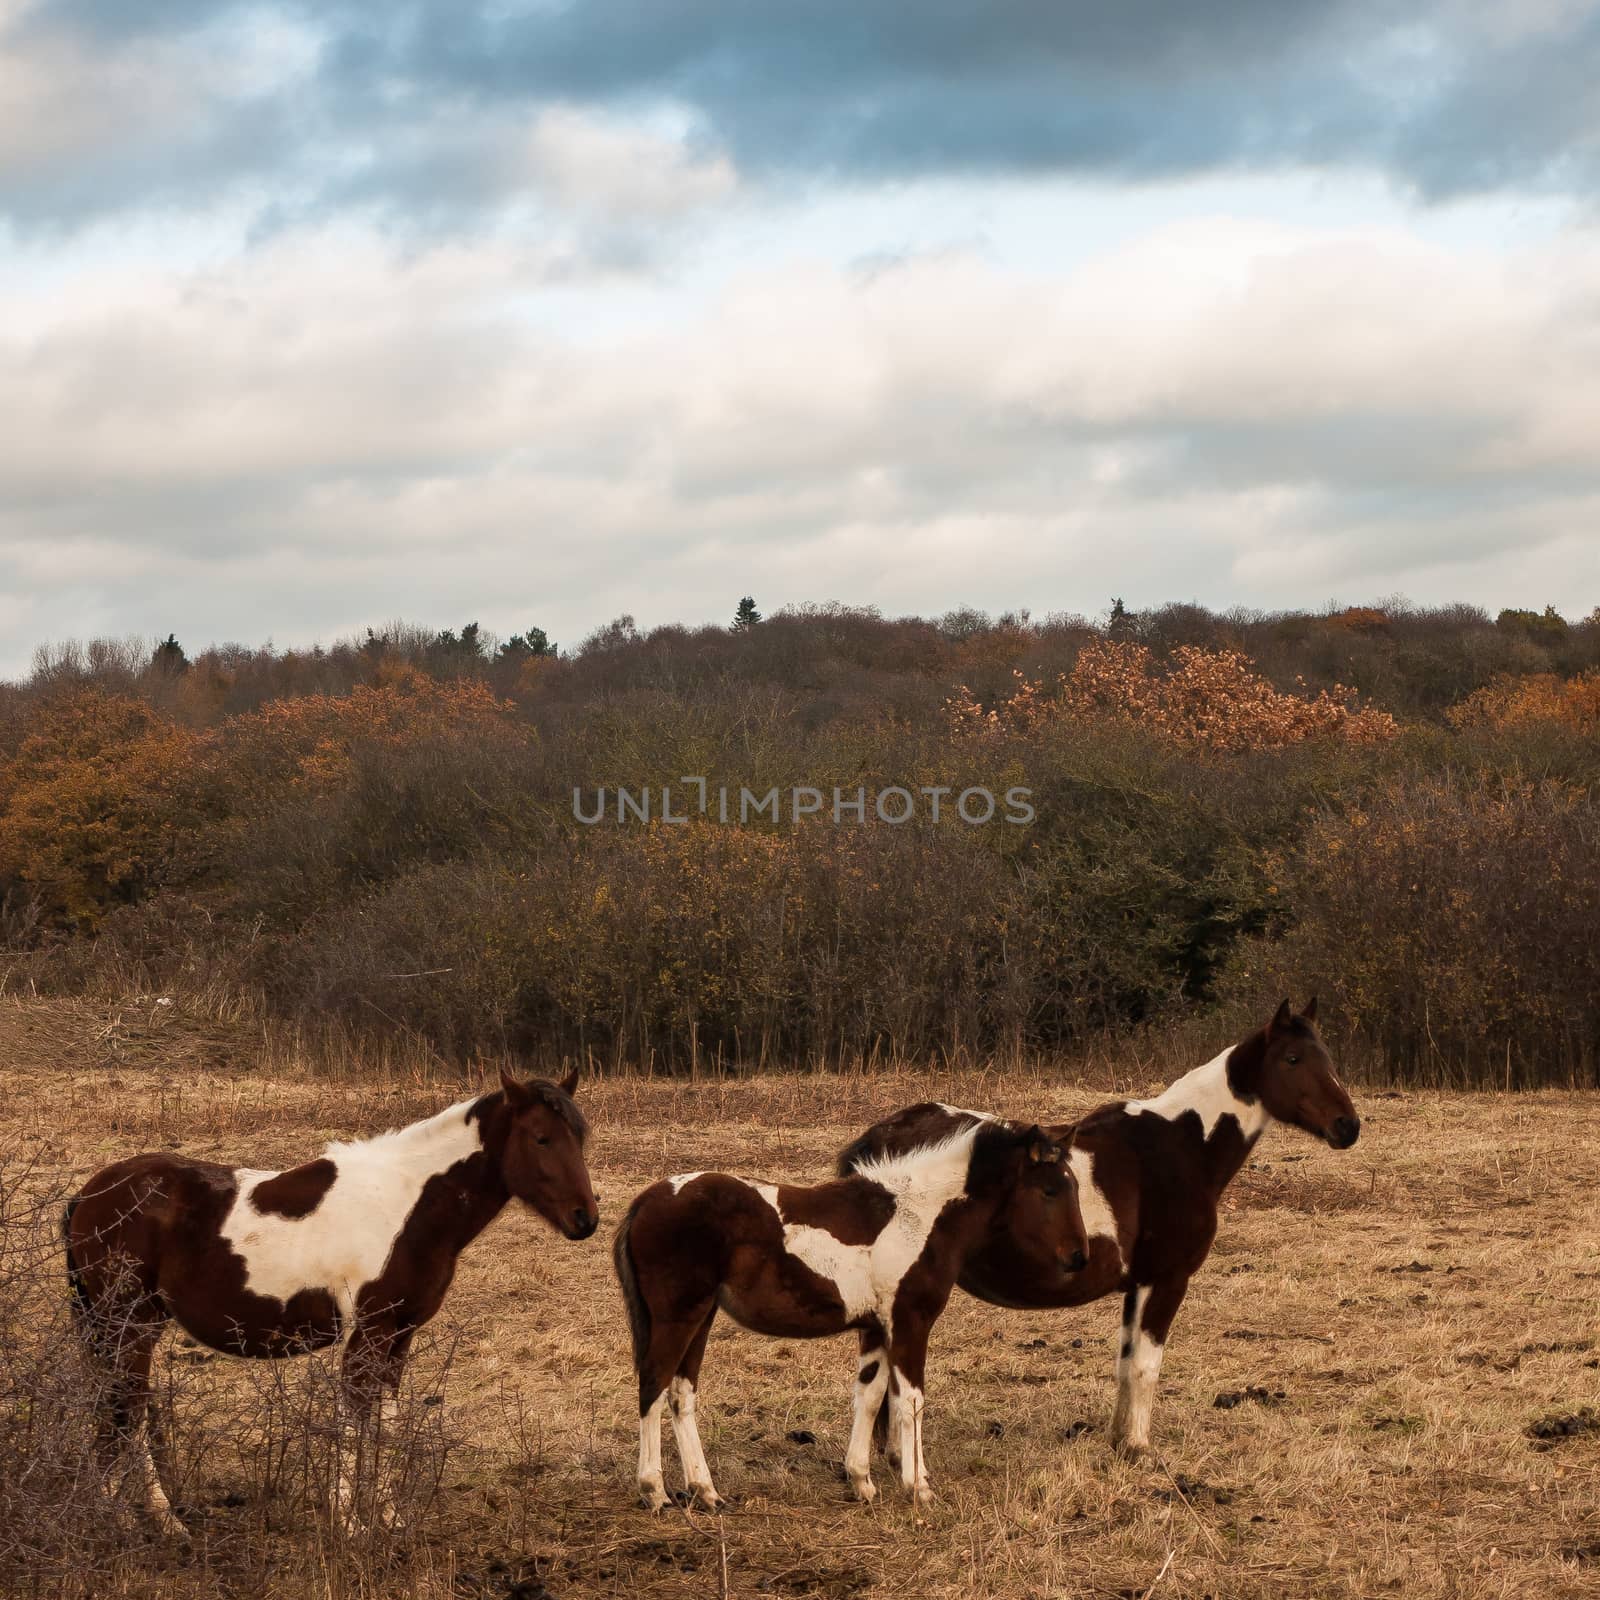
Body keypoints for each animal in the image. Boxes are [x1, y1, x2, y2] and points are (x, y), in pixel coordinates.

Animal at [59, 1068, 601, 1529]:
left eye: (580, 1138)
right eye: (541, 1137)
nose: (586, 1219)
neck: (406, 1204)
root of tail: (90, 1194)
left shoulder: (398, 1336)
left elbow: (385, 1424)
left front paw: (388, 1517)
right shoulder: (367, 1334)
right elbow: (351, 1422)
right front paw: (348, 1523)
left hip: (126, 1328)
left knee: (117, 1406)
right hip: (128, 1325)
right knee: (127, 1407)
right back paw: (153, 1519)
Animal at [611, 1120, 1088, 1504]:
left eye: (1074, 1186)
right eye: (1050, 1190)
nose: (1079, 1257)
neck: (920, 1215)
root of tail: (647, 1200)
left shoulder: (876, 1329)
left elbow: (871, 1395)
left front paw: (862, 1482)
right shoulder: (911, 1322)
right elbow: (911, 1399)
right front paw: (919, 1488)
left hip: (701, 1317)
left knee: (680, 1393)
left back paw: (705, 1491)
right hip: (678, 1317)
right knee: (653, 1386)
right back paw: (654, 1491)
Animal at [838, 998, 1363, 1465]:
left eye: (1328, 1057)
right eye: (1293, 1059)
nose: (1348, 1126)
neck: (1179, 1149)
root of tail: (876, 1143)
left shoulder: (1137, 1285)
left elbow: (1126, 1364)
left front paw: (1118, 1439)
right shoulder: (1167, 1280)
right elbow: (1147, 1366)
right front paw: (1139, 1448)